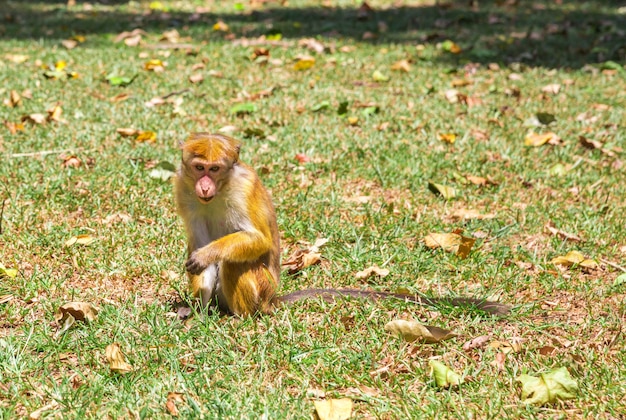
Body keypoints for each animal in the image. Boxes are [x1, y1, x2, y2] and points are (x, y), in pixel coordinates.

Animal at [173, 133, 510, 316]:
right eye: (199, 168)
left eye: (215, 169)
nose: (204, 185)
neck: (221, 189)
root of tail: (272, 299)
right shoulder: (182, 188)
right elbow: (197, 241)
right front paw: (196, 309)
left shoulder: (243, 187)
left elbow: (258, 241)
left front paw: (207, 255)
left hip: (263, 288)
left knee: (234, 261)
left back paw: (241, 317)